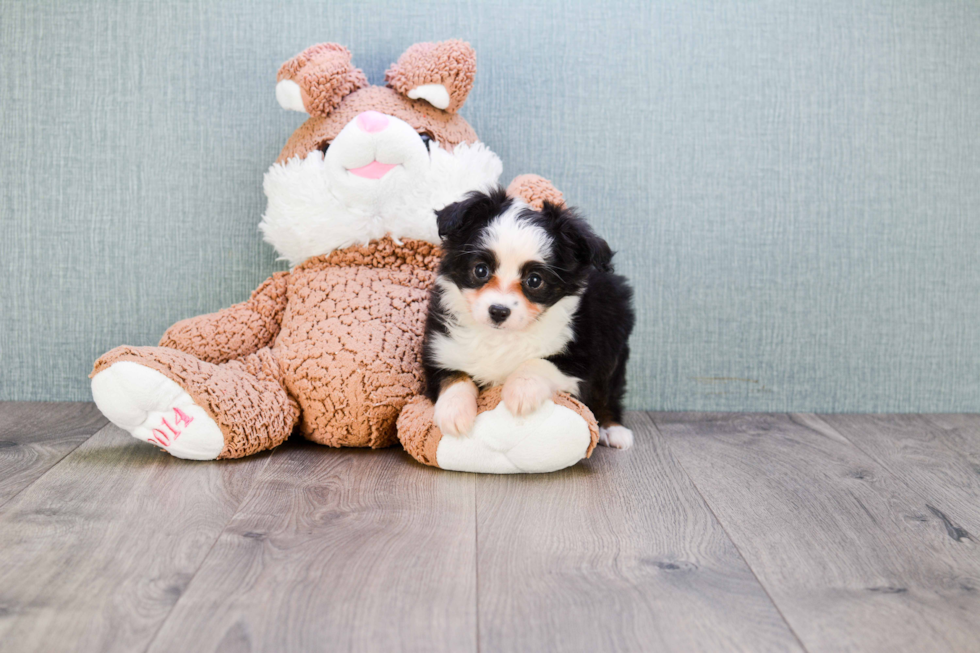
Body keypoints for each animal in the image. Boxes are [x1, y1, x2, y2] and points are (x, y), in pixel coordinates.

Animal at [422, 186, 636, 446]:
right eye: (480, 270)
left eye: (534, 280)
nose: (498, 311)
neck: (500, 338)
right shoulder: (439, 348)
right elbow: (453, 376)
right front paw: (454, 413)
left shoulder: (581, 357)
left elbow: (541, 362)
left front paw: (520, 392)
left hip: (613, 339)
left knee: (608, 391)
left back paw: (614, 429)